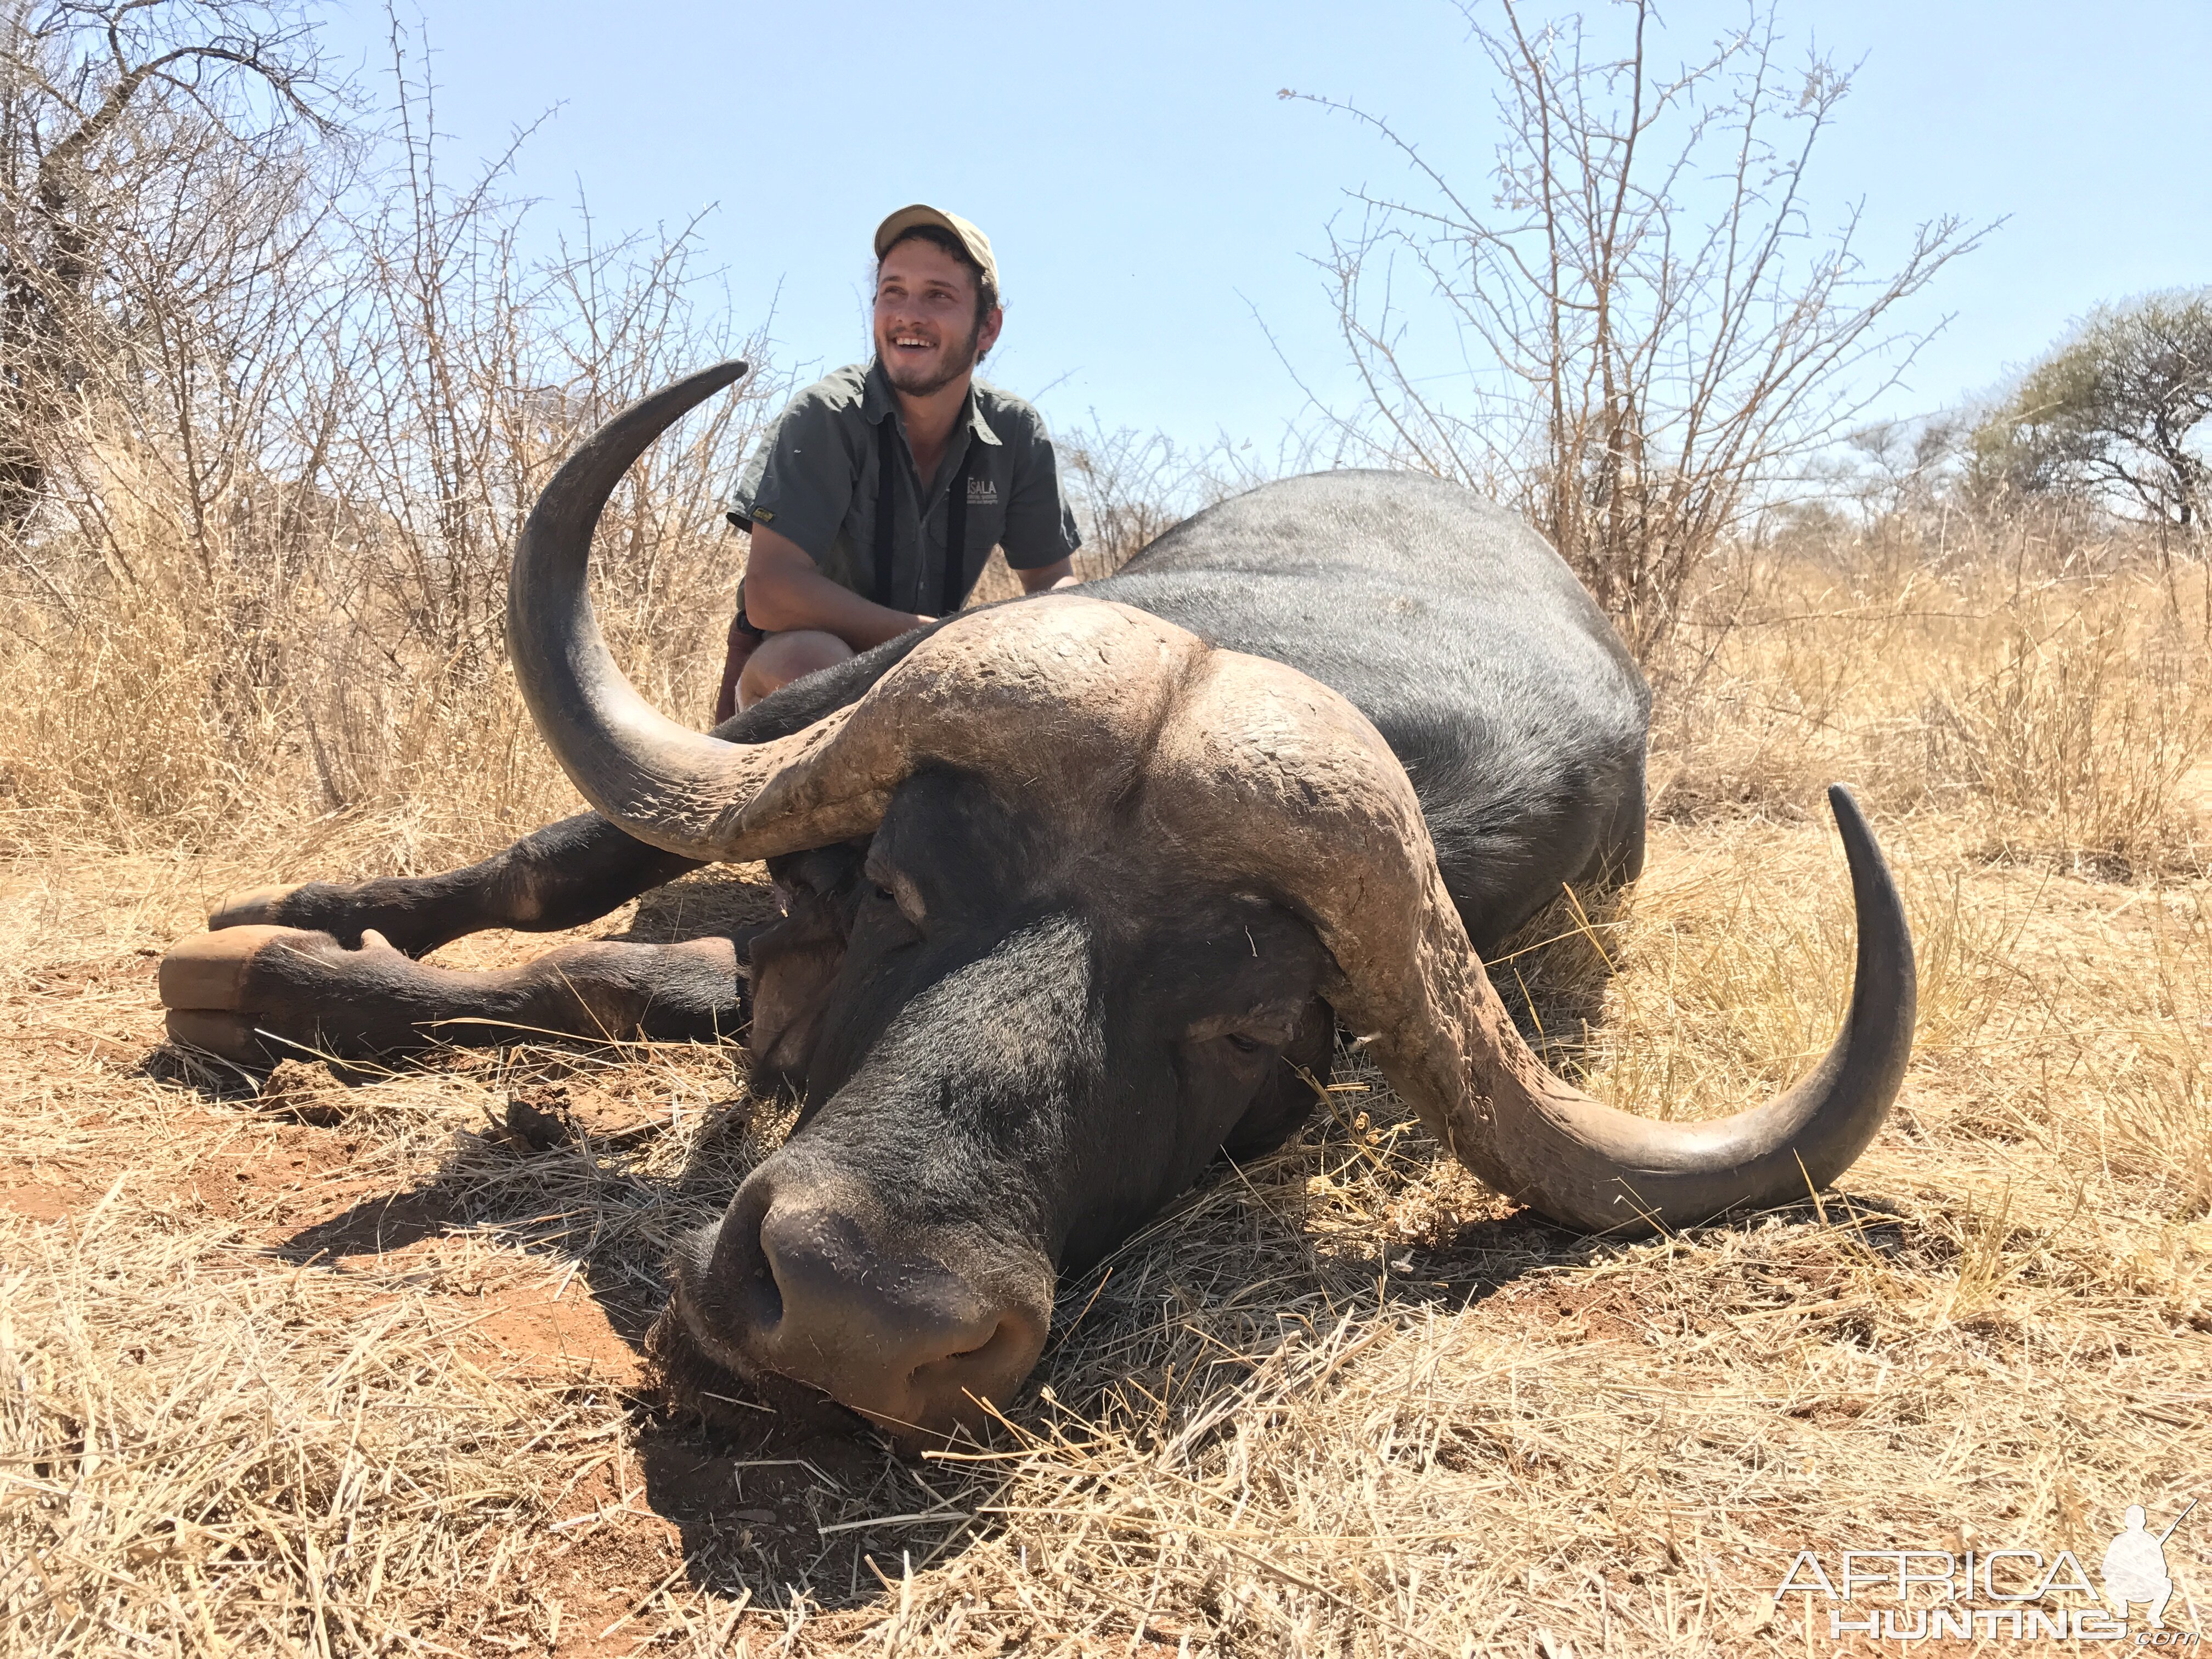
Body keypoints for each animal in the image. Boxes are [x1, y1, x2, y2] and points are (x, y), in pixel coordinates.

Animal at [160, 360, 1920, 1442]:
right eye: (903, 890)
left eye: (1248, 1025)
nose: (860, 1315)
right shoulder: (831, 730)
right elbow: (567, 870)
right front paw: (290, 944)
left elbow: (645, 978)